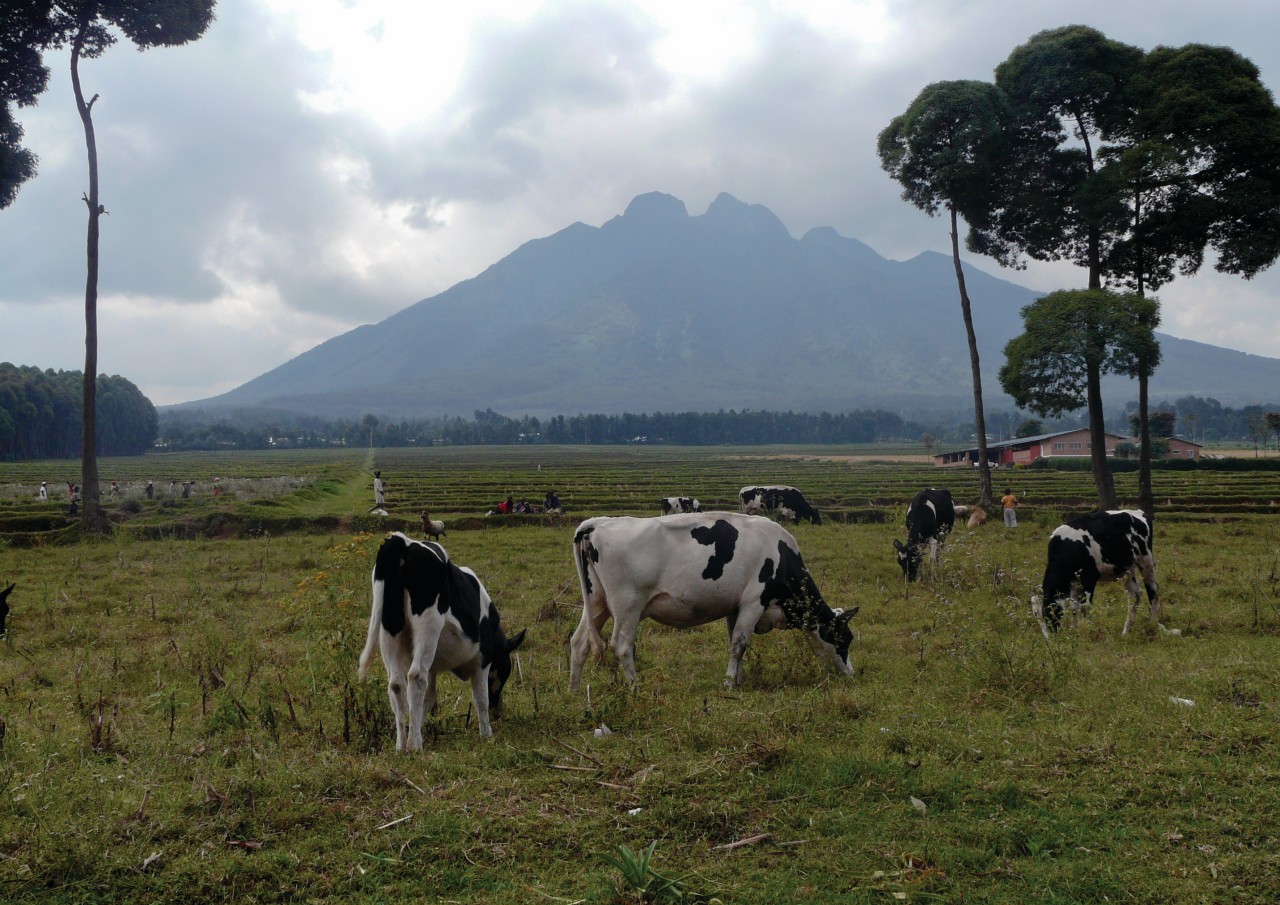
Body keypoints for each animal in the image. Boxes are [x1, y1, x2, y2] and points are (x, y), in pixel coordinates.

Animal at [355, 529, 524, 752]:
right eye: (505, 672)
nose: (499, 711)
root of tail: (403, 542)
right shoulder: (483, 659)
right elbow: (480, 697)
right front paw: (486, 734)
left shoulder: (433, 668)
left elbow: (429, 698)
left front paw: (417, 729)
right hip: (429, 625)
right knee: (415, 677)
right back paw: (414, 746)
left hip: (389, 629)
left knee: (397, 684)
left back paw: (401, 745)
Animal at [568, 514, 849, 691]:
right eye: (845, 639)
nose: (850, 674)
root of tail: (598, 524)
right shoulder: (753, 602)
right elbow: (739, 644)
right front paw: (729, 684)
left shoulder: (735, 607)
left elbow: (734, 641)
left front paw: (738, 679)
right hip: (628, 605)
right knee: (622, 646)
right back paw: (634, 687)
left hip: (597, 603)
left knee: (579, 642)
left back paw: (574, 691)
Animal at [1034, 509, 1167, 637]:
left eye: (1047, 613)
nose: (1050, 639)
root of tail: (1139, 512)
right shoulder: (1074, 581)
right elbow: (1074, 607)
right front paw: (1074, 630)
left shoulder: (1089, 577)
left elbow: (1084, 606)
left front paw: (1084, 632)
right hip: (1127, 568)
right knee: (1134, 594)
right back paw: (1126, 631)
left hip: (1146, 560)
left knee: (1153, 590)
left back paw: (1153, 624)